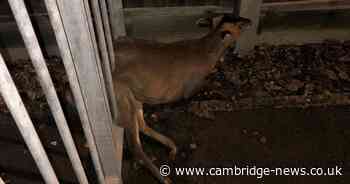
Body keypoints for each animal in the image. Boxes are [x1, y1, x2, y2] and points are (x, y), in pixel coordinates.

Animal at [112, 13, 252, 184]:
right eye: (239, 25)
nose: (249, 21)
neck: (205, 51)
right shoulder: (191, 88)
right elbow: (211, 86)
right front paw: (229, 93)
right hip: (122, 96)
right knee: (135, 146)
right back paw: (165, 179)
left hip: (134, 96)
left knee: (142, 126)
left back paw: (172, 148)